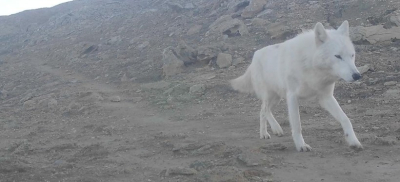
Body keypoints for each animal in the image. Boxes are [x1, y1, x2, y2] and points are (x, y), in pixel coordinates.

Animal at [228, 20, 362, 152]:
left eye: (352, 55)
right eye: (338, 56)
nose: (357, 75)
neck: (311, 66)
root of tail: (255, 55)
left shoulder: (326, 98)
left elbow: (345, 119)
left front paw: (353, 141)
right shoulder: (292, 96)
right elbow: (297, 125)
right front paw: (301, 145)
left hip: (276, 98)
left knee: (263, 111)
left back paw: (268, 132)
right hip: (270, 96)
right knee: (264, 109)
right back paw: (272, 130)